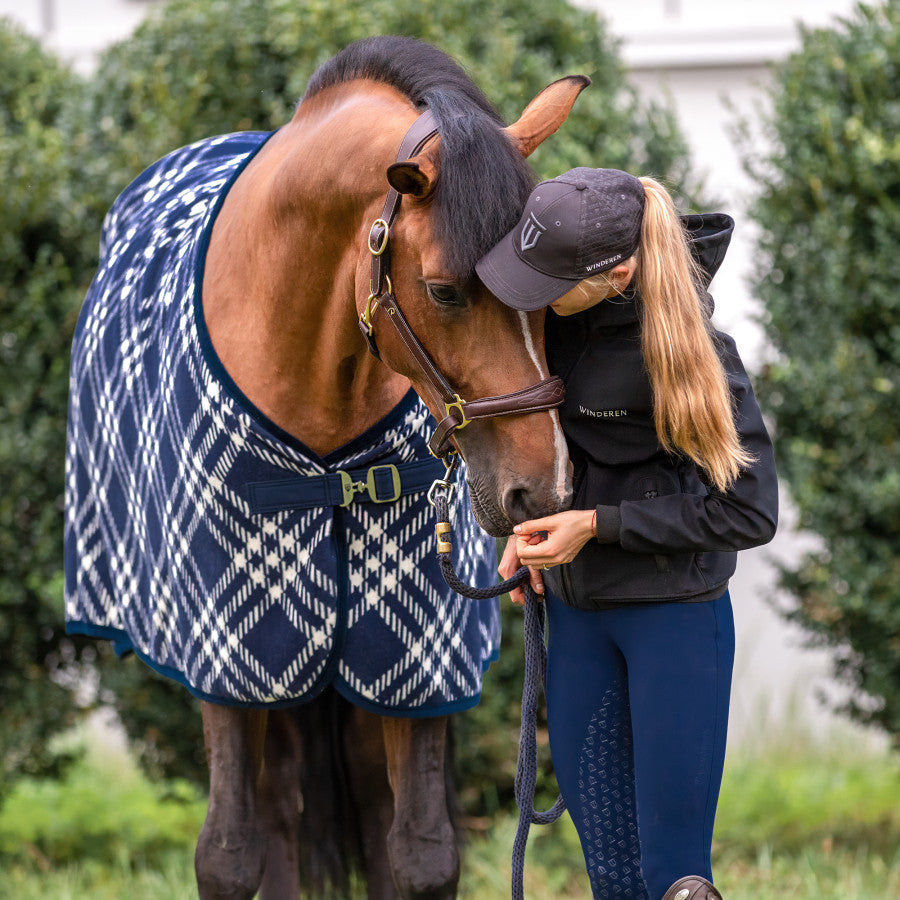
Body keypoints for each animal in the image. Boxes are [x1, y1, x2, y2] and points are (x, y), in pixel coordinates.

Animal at [65, 36, 587, 898]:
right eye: (445, 291)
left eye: (551, 300)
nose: (539, 488)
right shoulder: (231, 656)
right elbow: (228, 855)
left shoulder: (411, 661)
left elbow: (420, 854)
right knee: (275, 810)